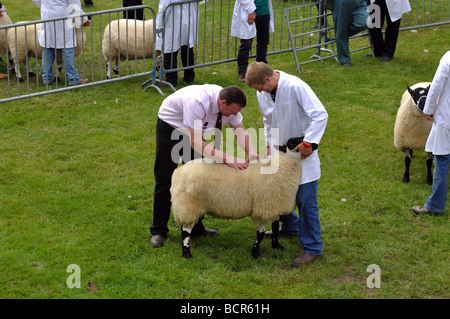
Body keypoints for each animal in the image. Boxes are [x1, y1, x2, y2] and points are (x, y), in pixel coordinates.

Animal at [171, 141, 304, 262]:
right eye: (293, 143)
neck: (278, 168)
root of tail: (178, 172)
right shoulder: (262, 209)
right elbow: (260, 235)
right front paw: (256, 253)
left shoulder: (273, 206)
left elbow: (275, 228)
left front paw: (277, 246)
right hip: (187, 206)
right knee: (185, 231)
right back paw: (187, 254)